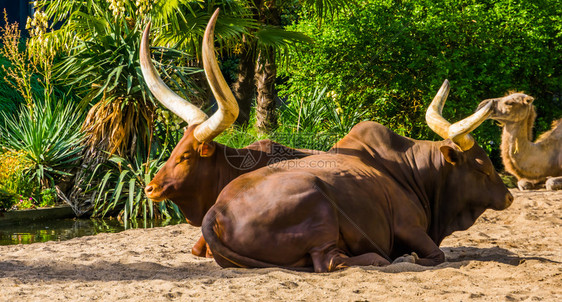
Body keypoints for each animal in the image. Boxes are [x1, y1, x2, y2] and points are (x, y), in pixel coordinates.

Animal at [201, 79, 512, 272]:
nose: (509, 197)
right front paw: (407, 256)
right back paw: (379, 258)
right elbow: (437, 255)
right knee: (328, 261)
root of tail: (217, 209)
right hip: (319, 205)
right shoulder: (409, 227)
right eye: (482, 165)